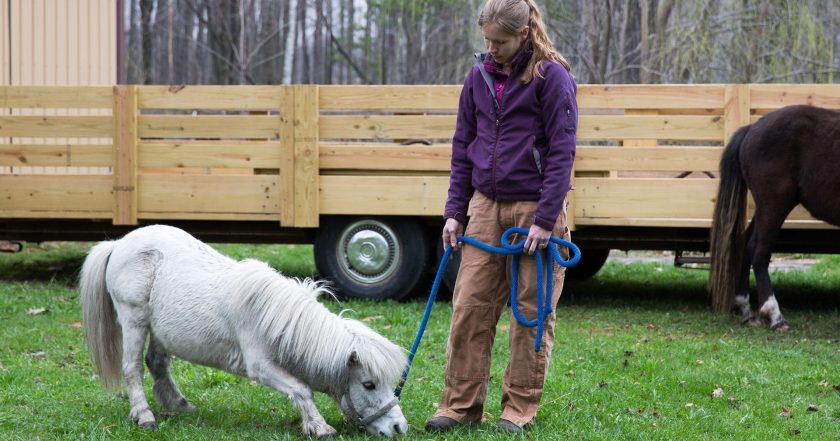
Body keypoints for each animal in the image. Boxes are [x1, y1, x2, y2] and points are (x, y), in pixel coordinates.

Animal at [80, 227, 408, 436]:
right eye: (368, 385)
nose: (399, 427)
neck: (279, 319)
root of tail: (118, 243)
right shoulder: (260, 367)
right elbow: (302, 389)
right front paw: (320, 428)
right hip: (134, 320)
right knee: (132, 368)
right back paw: (144, 416)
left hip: (160, 330)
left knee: (157, 364)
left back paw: (179, 406)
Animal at [708, 105, 840, 328]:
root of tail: (752, 129)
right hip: (774, 204)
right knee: (759, 251)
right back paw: (775, 315)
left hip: (765, 208)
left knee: (747, 243)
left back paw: (746, 309)